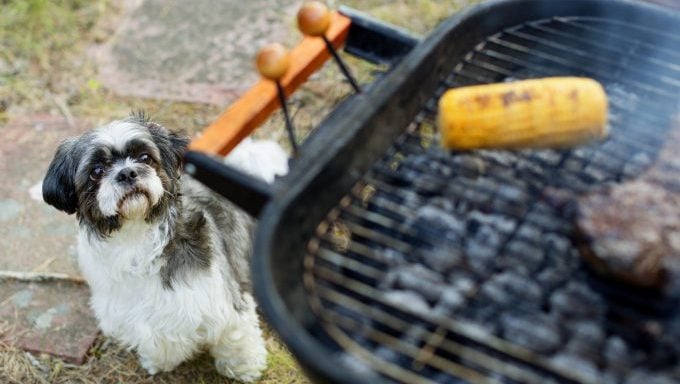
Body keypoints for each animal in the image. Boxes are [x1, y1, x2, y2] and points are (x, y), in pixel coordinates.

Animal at [41, 115, 286, 380]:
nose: (127, 173)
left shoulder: (222, 300)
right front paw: (159, 361)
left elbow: (235, 337)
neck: (135, 238)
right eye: (96, 171)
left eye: (145, 158)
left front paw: (244, 367)